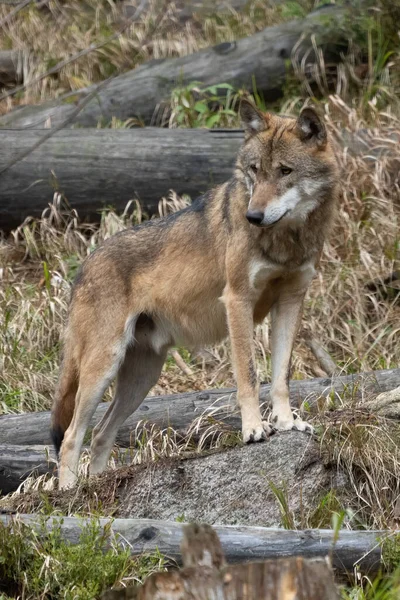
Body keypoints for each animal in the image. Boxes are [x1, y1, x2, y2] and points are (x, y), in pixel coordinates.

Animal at [50, 101, 338, 490]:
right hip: (103, 367)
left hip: (141, 379)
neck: (287, 240)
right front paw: (254, 429)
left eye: (284, 171)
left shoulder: (292, 301)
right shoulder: (237, 300)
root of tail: (83, 266)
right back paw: (70, 493)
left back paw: (100, 483)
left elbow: (281, 376)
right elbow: (249, 375)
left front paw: (287, 422)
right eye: (254, 170)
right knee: (70, 437)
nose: (253, 216)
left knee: (100, 435)